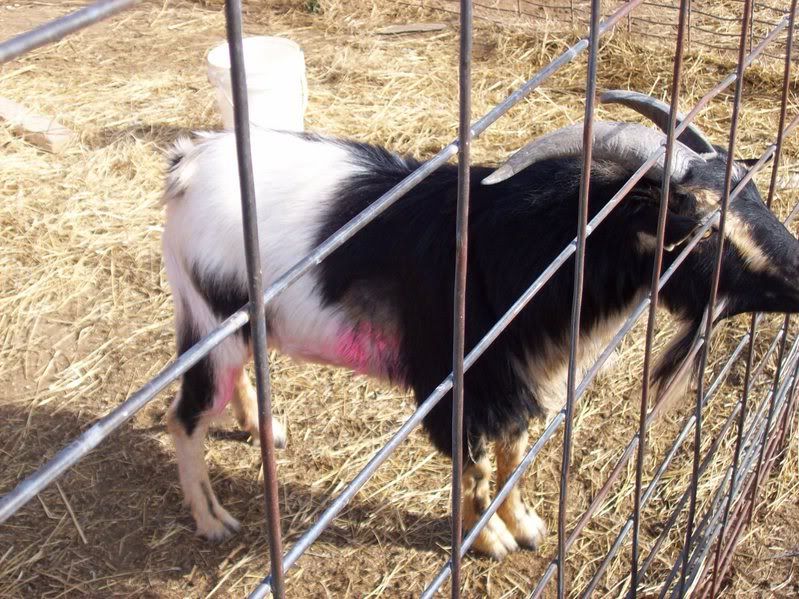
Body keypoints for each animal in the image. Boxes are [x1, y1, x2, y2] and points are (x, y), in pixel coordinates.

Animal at [161, 90, 799, 559]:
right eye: (697, 221)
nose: (796, 272)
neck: (515, 249)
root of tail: (187, 164)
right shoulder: (457, 385)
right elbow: (475, 468)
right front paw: (491, 541)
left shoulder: (517, 377)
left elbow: (513, 457)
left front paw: (528, 527)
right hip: (209, 320)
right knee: (183, 416)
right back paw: (214, 520)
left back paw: (265, 430)